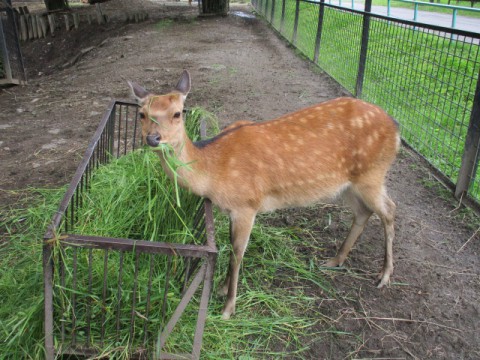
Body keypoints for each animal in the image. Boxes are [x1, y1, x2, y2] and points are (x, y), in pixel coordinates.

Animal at [128, 69, 402, 320]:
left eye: (177, 113)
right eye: (142, 114)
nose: (152, 138)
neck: (213, 172)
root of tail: (396, 128)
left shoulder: (247, 205)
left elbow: (237, 253)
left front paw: (227, 308)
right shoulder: (232, 210)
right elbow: (230, 247)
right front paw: (222, 289)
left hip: (372, 175)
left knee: (389, 209)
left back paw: (384, 276)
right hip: (348, 184)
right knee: (364, 212)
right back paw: (336, 260)